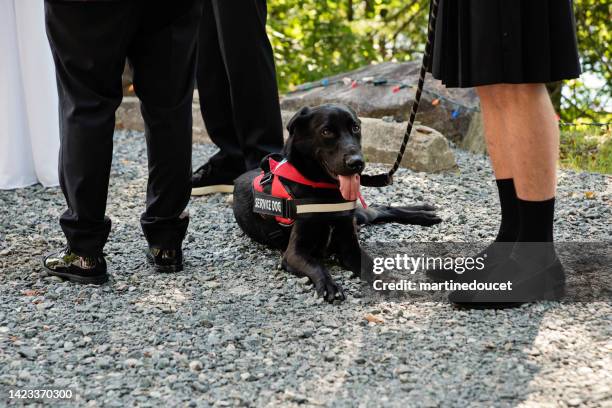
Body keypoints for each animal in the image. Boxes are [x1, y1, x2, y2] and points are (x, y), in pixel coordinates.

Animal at [233, 104, 440, 302]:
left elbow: (370, 264)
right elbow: (317, 265)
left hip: (359, 216)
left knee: (381, 209)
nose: (357, 163)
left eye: (355, 128)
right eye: (326, 132)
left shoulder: (349, 245)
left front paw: (387, 282)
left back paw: (424, 213)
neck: (324, 189)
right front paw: (328, 285)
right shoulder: (294, 254)